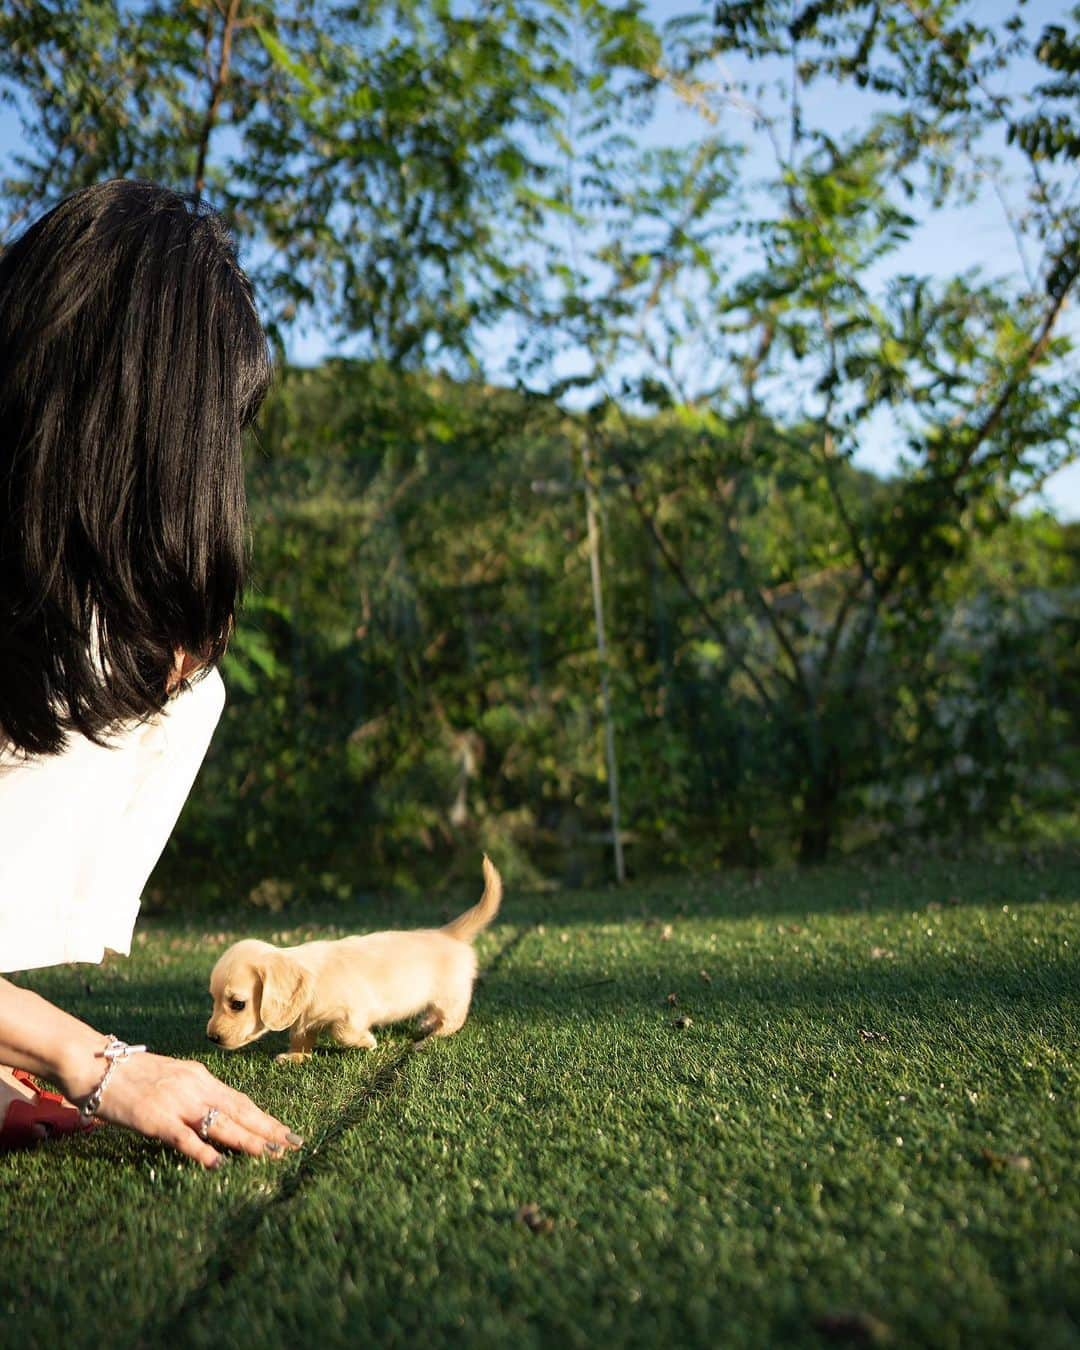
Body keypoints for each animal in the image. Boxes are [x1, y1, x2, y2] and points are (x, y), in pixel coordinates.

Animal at [206, 853, 502, 1063]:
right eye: (213, 999)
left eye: (237, 1004)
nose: (212, 1037)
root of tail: (448, 932)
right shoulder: (304, 1019)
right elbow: (300, 1035)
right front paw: (296, 1056)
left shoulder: (353, 1011)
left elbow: (342, 1032)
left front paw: (367, 1041)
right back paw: (426, 1022)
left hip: (449, 996)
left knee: (453, 1020)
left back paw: (427, 1038)